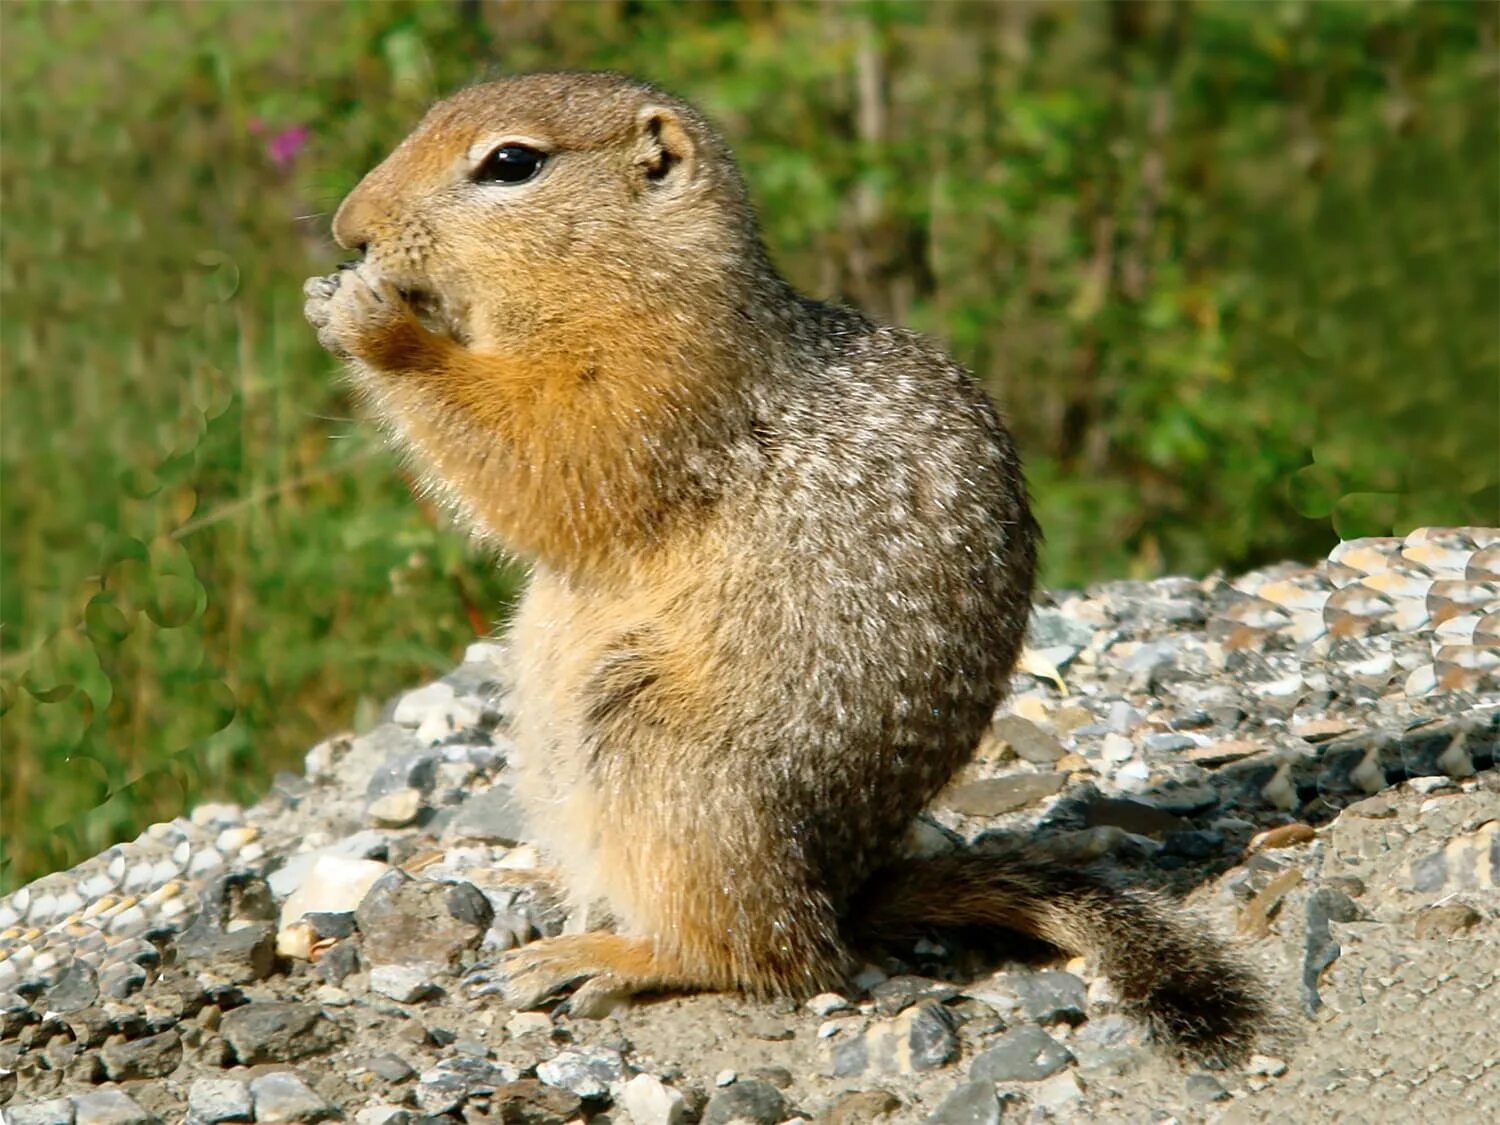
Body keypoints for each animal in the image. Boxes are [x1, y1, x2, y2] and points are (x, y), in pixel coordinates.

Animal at [301, 72, 1266, 1068]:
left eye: (510, 163)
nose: (348, 229)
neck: (644, 277)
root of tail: (846, 894)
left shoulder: (658, 381)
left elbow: (547, 450)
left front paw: (371, 318)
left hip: (668, 759)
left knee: (780, 957)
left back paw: (604, 956)